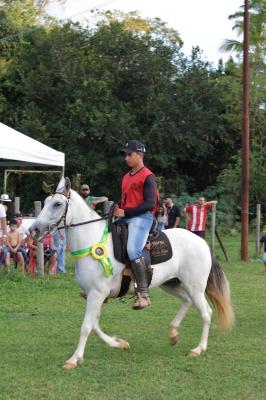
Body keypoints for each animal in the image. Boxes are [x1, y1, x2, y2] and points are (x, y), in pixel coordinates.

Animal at [30, 177, 234, 368]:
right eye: (45, 202)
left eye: (57, 204)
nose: (34, 230)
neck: (91, 242)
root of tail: (201, 242)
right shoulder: (95, 295)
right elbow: (95, 325)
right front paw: (120, 344)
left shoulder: (96, 294)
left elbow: (87, 326)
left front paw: (74, 359)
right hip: (171, 284)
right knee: (187, 302)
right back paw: (174, 333)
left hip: (195, 287)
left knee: (206, 313)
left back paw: (198, 349)